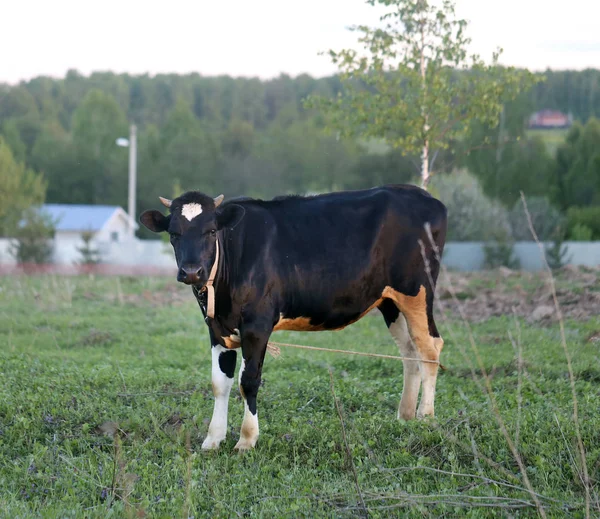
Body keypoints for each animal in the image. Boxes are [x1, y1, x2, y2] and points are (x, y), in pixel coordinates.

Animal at [141, 184, 448, 450]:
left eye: (211, 230)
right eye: (174, 233)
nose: (192, 272)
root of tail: (423, 196)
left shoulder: (257, 325)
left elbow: (248, 381)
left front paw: (247, 439)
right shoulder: (217, 329)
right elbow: (220, 383)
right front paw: (213, 439)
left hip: (418, 291)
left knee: (430, 348)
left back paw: (426, 416)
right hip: (390, 301)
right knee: (409, 351)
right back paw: (405, 415)